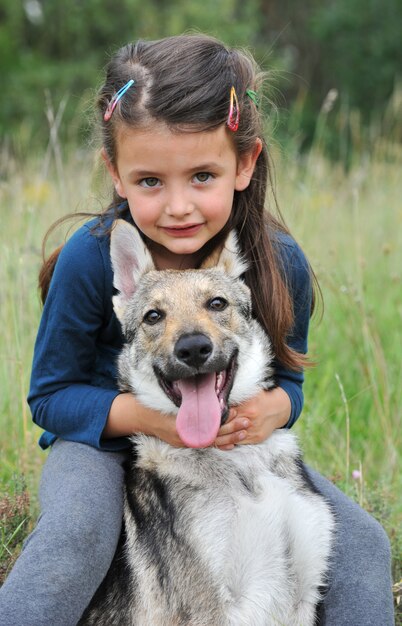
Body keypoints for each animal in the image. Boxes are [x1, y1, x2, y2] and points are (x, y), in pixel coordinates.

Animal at [80, 219, 334, 624]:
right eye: (154, 316)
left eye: (216, 304)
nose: (193, 348)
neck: (239, 465)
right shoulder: (206, 606)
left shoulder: (303, 595)